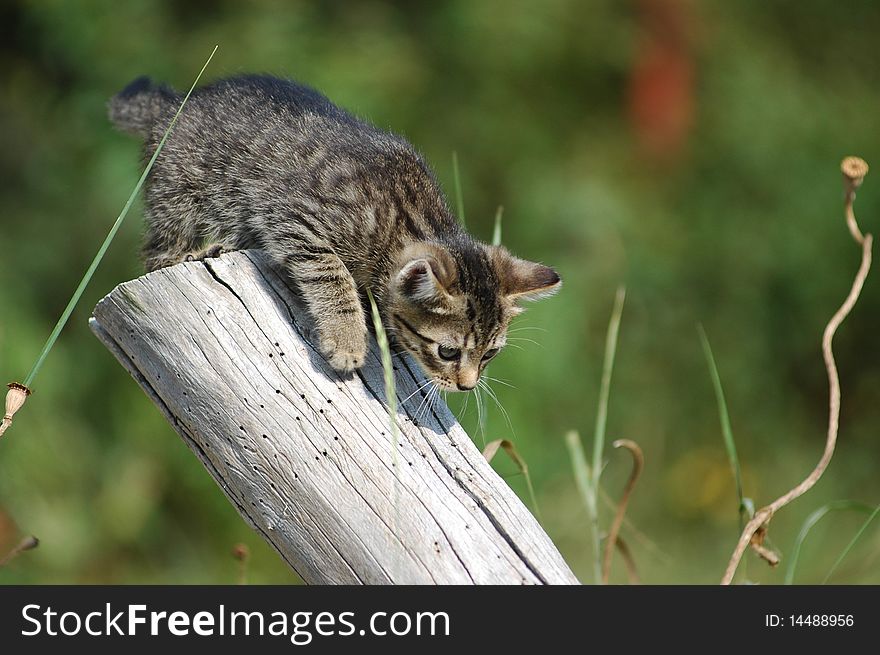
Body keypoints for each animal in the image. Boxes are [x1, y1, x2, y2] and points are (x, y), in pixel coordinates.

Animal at [110, 73, 560, 390]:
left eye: (490, 355)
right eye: (448, 352)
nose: (467, 386)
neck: (405, 220)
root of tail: (174, 104)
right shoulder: (295, 217)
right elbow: (331, 272)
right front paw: (346, 339)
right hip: (180, 194)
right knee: (155, 249)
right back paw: (191, 252)